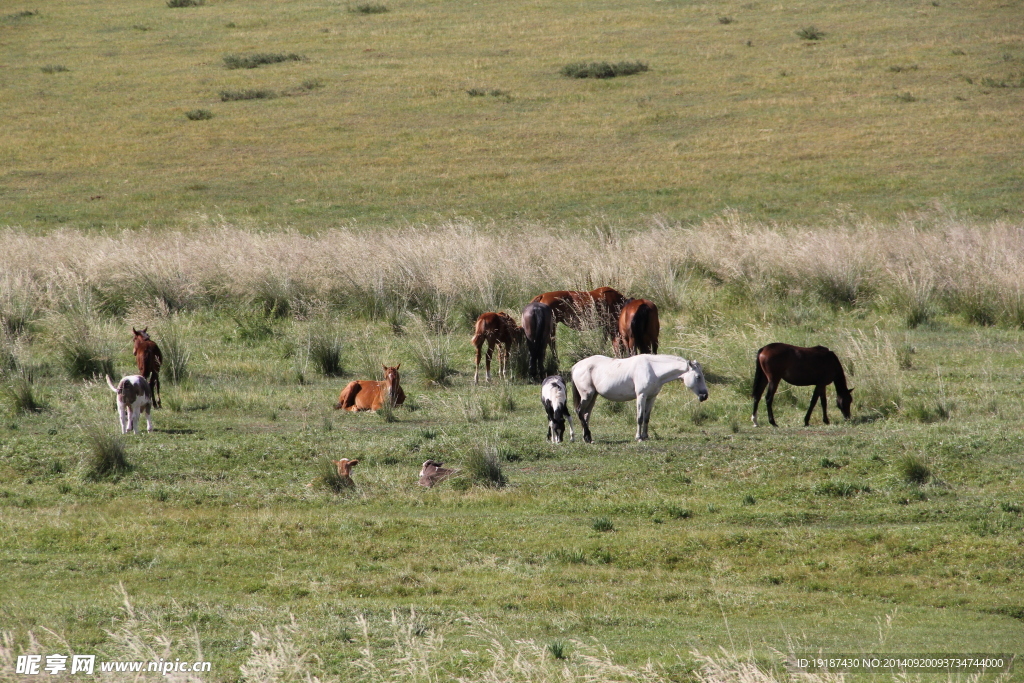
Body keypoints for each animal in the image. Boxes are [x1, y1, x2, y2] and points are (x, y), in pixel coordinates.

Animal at [573, 352, 708, 444]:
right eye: (698, 377)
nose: (705, 396)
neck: (653, 369)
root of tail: (576, 366)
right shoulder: (641, 396)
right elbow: (640, 417)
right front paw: (638, 437)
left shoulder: (651, 397)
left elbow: (647, 418)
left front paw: (645, 436)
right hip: (587, 395)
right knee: (579, 412)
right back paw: (588, 437)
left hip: (593, 397)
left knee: (586, 415)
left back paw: (587, 438)